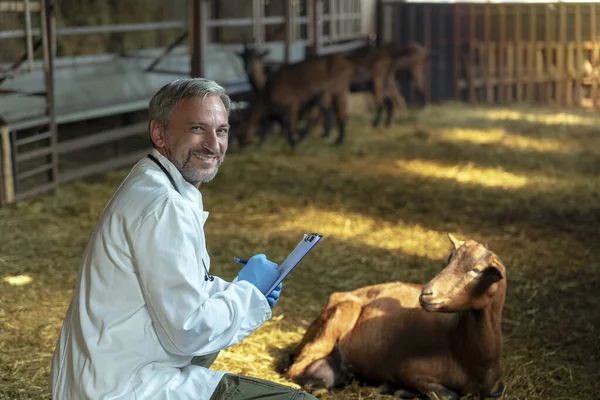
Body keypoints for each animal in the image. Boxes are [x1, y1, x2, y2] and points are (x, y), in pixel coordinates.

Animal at [280, 234, 506, 400]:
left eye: (476, 270)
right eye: (449, 261)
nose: (426, 293)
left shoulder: (496, 387)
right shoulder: (406, 369)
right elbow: (450, 395)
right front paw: (398, 389)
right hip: (337, 320)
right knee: (296, 369)